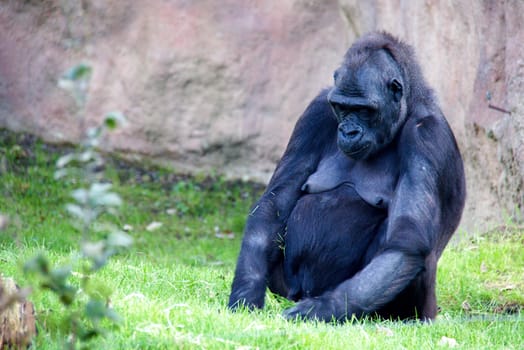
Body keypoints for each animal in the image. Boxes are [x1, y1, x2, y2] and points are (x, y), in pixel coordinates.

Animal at [227, 31, 464, 322]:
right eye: (340, 107)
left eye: (364, 110)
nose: (348, 132)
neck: (407, 109)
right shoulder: (316, 111)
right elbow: (274, 205)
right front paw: (245, 294)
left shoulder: (427, 134)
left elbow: (406, 240)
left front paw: (323, 308)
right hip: (291, 290)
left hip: (421, 312)